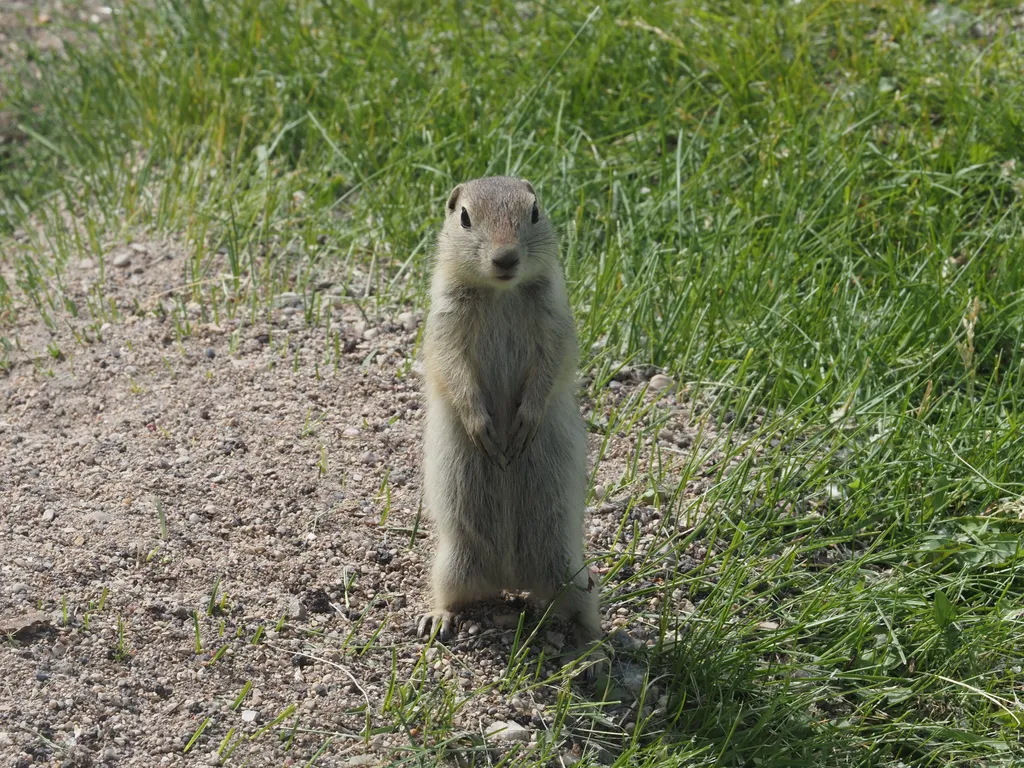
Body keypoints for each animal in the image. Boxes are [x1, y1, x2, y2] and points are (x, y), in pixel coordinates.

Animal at [415, 174, 602, 667]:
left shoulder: (557, 320)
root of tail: (511, 579)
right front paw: (483, 427)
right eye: (464, 218)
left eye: (534, 212)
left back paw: (594, 651)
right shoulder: (444, 323)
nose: (505, 257)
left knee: (584, 610)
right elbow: (453, 370)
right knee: (449, 594)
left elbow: (552, 366)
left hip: (572, 571)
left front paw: (522, 425)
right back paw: (436, 618)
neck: (502, 292)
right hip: (451, 562)